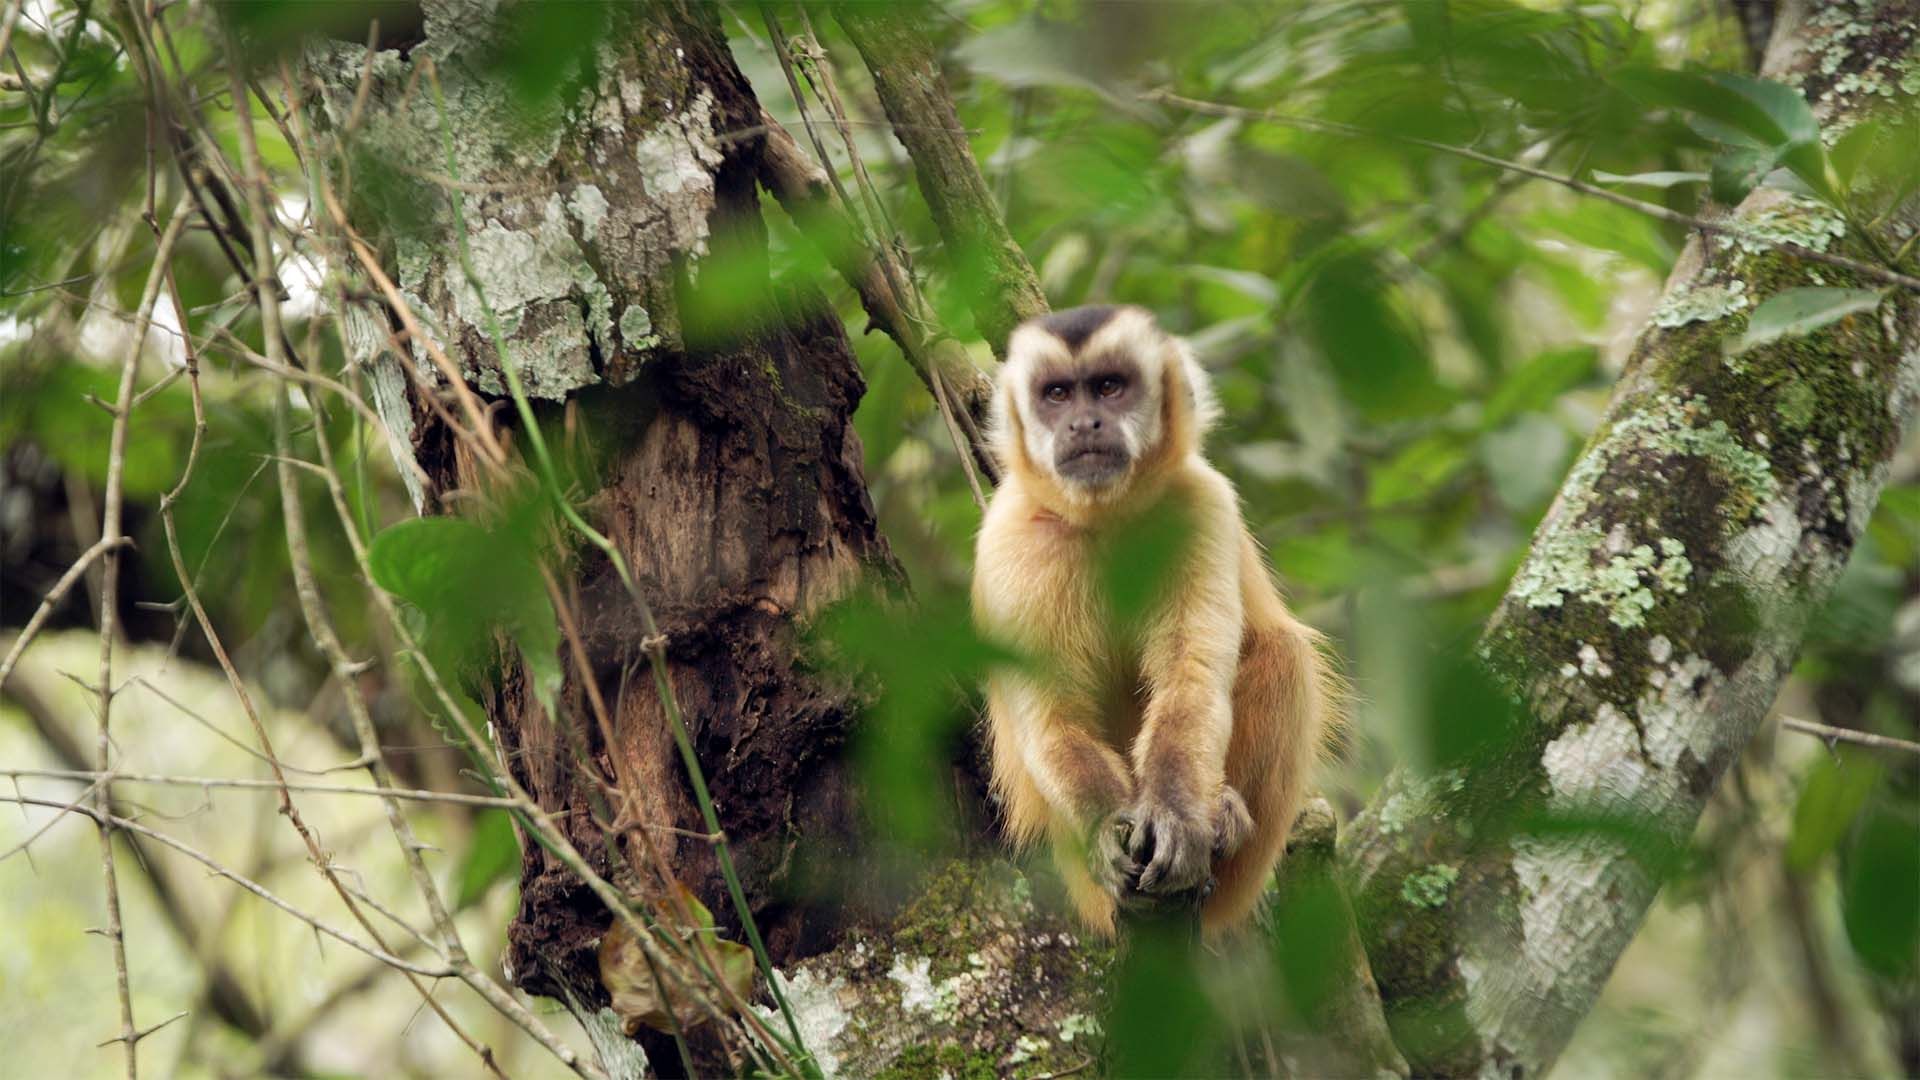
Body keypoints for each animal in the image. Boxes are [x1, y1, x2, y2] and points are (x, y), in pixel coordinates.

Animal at [970, 304, 1341, 937]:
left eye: (1110, 387)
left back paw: (1226, 819)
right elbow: (1054, 720)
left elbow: (1189, 682)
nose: (1084, 424)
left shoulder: (1200, 504)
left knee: (1284, 653)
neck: (1106, 518)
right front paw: (1105, 829)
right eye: (1057, 394)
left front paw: (1178, 820)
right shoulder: (1009, 544)